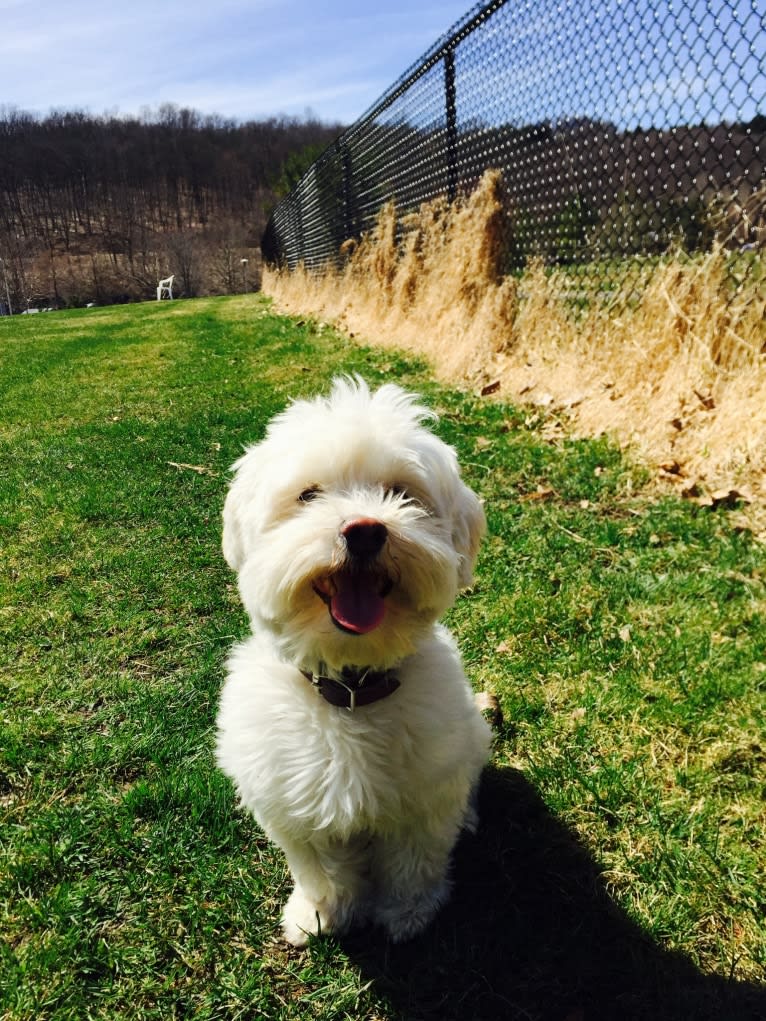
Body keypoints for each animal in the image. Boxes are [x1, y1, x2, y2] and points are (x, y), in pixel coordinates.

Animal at [216, 379, 492, 943]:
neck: (350, 692)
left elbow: (414, 863)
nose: (365, 530)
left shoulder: (423, 802)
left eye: (402, 493)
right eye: (308, 495)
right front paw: (320, 913)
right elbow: (321, 869)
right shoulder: (296, 805)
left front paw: (408, 914)